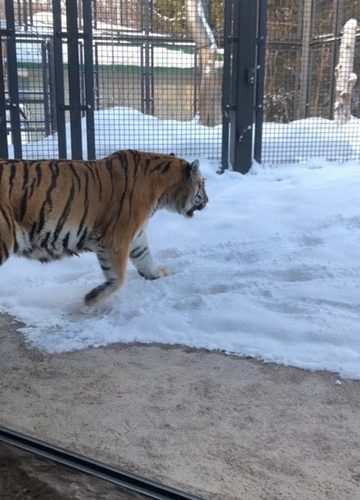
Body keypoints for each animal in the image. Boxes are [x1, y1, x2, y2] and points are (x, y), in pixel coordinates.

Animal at [0, 148, 208, 304]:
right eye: (202, 184)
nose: (207, 201)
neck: (162, 193)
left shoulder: (136, 235)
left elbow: (144, 257)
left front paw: (156, 274)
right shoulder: (116, 237)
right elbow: (118, 276)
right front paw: (91, 299)